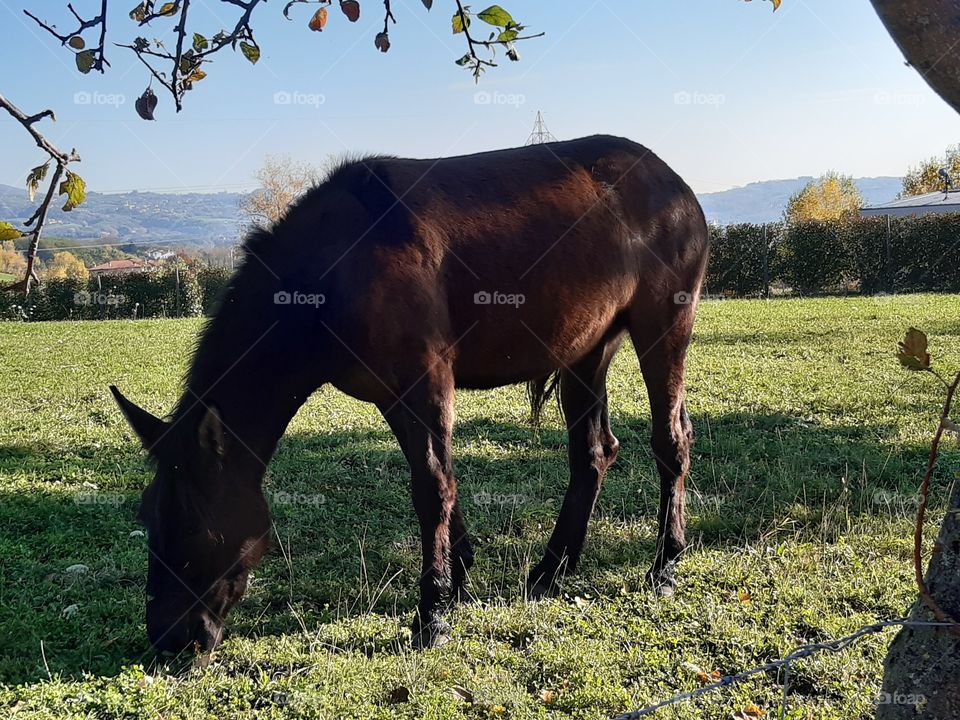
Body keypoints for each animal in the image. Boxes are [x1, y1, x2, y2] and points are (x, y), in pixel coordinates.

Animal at [110, 134, 709, 652]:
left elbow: (433, 488)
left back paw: (665, 564)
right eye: (147, 516)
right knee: (594, 452)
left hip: (663, 327)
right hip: (588, 348)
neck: (333, 269)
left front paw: (433, 613)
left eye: (194, 524)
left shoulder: (425, 379)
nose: (168, 638)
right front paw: (457, 581)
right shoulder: (393, 394)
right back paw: (551, 569)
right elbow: (440, 482)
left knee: (671, 440)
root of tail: (677, 186)